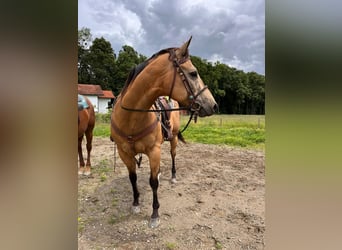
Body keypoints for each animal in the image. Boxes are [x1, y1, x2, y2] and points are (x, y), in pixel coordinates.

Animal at [109, 36, 218, 228]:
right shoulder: (124, 153)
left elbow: (153, 183)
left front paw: (155, 214)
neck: (130, 117)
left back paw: (173, 176)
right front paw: (135, 203)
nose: (213, 105)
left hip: (172, 139)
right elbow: (133, 178)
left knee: (173, 156)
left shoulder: (154, 151)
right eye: (193, 73)